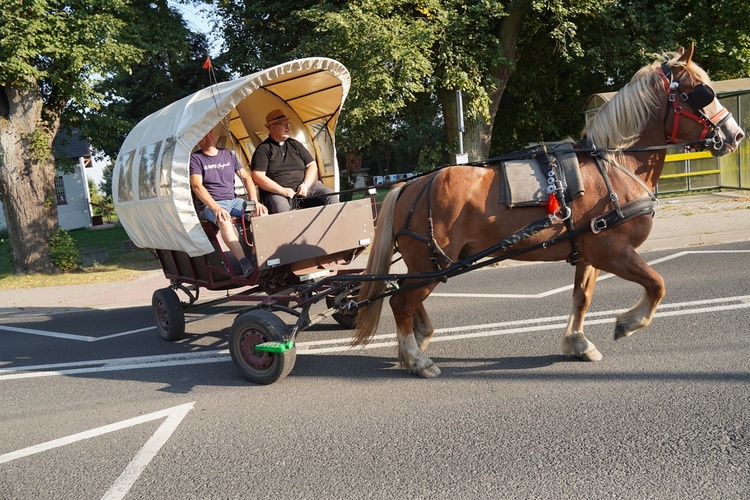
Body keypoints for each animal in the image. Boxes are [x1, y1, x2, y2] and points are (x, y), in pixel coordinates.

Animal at [356, 47, 748, 376]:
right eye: (699, 92)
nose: (735, 134)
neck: (614, 165)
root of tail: (410, 185)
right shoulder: (613, 252)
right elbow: (657, 285)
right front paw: (627, 323)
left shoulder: (589, 253)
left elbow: (582, 297)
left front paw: (577, 342)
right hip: (433, 260)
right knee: (401, 302)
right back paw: (416, 358)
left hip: (431, 263)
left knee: (406, 297)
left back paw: (419, 339)